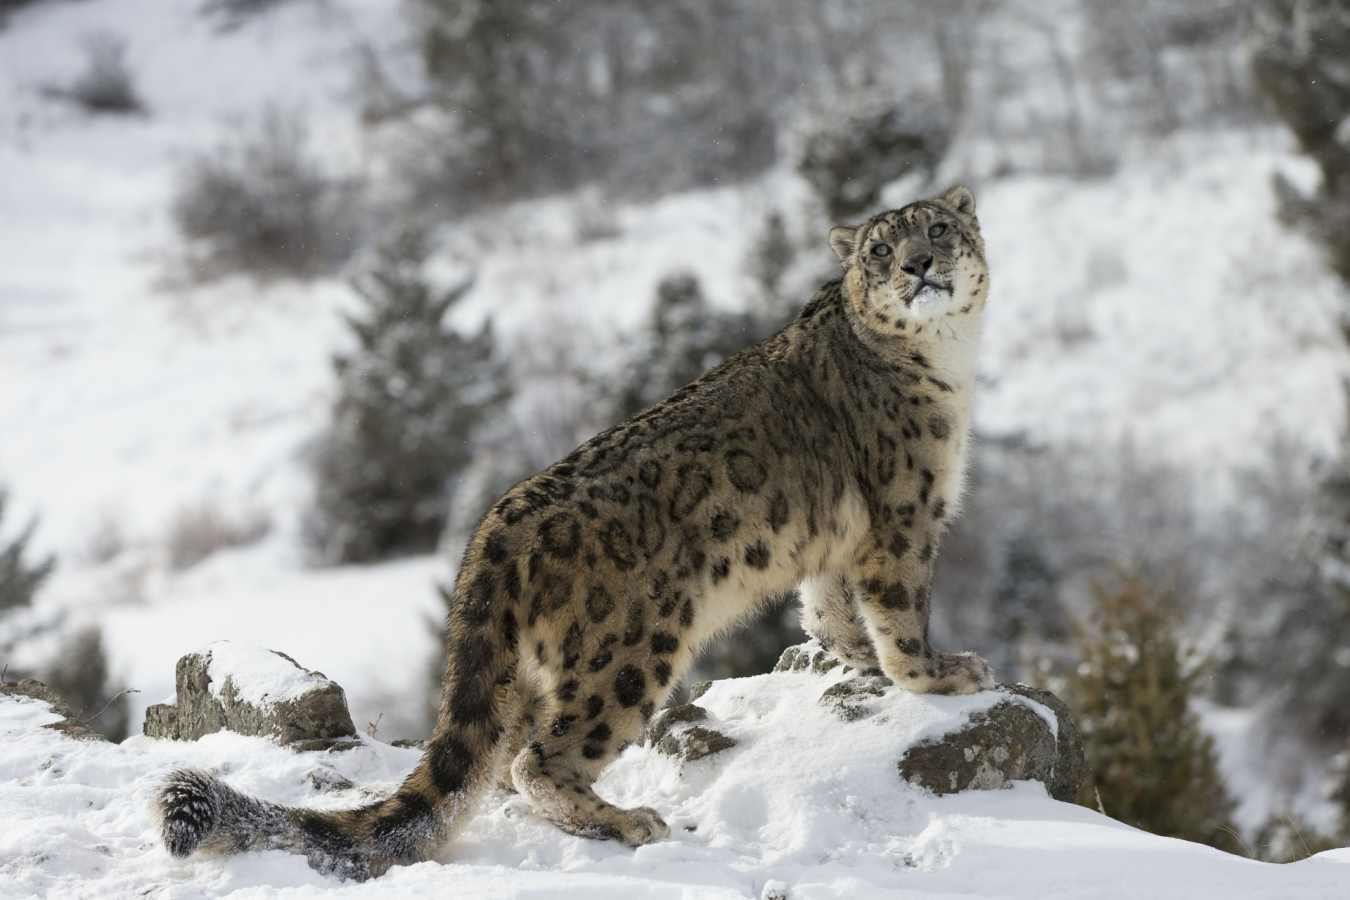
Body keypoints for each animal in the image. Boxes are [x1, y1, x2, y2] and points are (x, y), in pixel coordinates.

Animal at [155, 184, 995, 880]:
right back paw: (629, 821)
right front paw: (941, 673)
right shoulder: (904, 517)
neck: (948, 364)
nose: (919, 266)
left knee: (499, 761)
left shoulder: (836, 544)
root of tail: (497, 524)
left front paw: (856, 660)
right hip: (628, 651)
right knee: (539, 760)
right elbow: (899, 612)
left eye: (938, 229)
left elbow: (829, 609)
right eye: (881, 250)